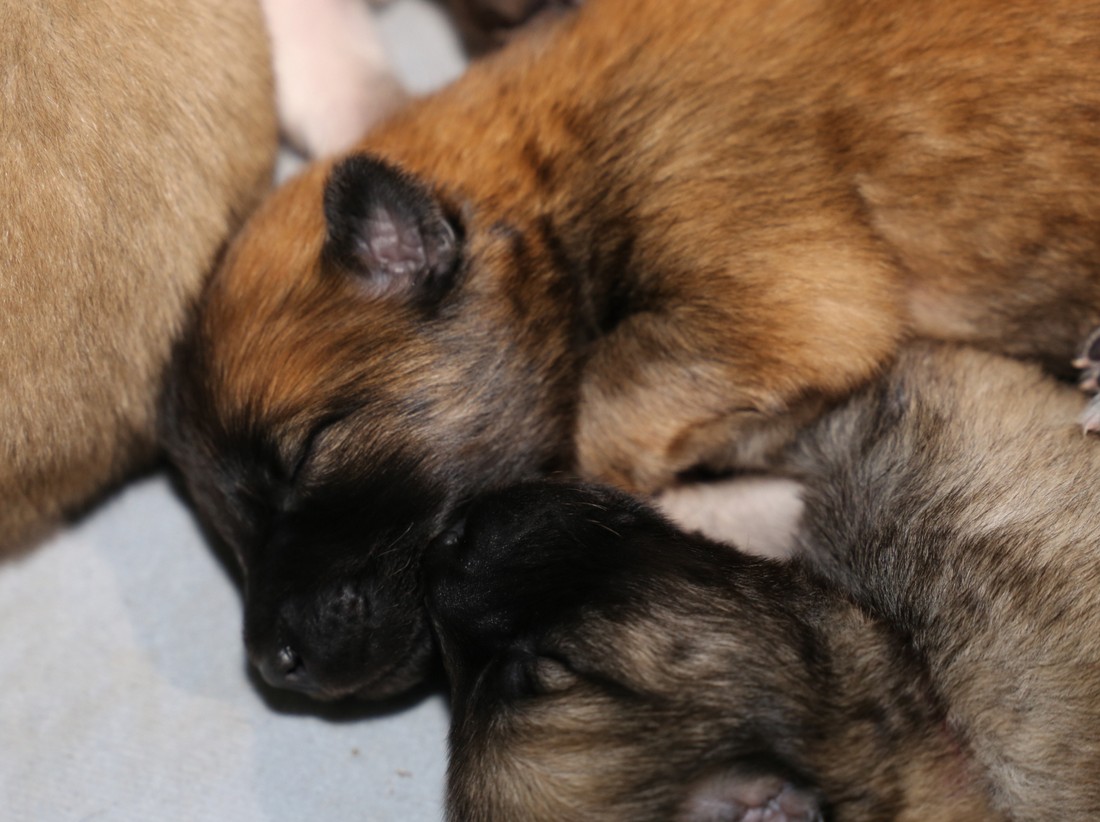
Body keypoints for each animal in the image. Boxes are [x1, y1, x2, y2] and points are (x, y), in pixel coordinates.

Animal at [161, 0, 1100, 701]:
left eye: (308, 454)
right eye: (225, 524)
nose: (270, 664)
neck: (546, 174)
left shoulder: (790, 298)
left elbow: (601, 407)